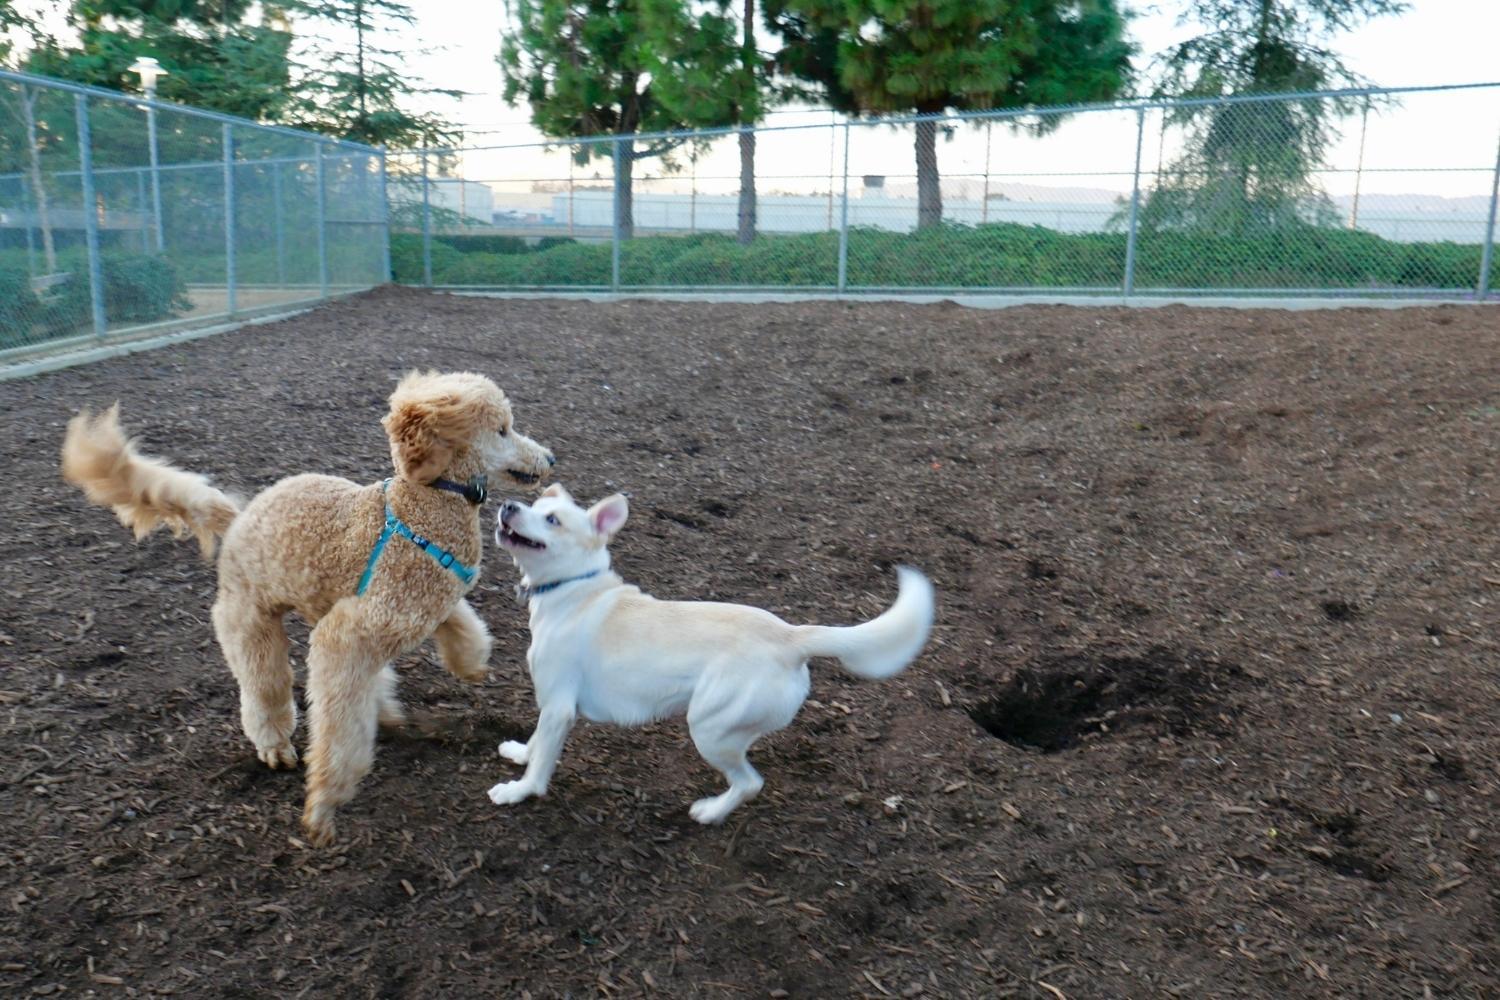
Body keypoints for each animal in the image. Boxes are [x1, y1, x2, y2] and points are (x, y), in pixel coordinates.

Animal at [63, 371, 558, 851]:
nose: (550, 458)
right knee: (264, 685)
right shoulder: (349, 636)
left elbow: (463, 628)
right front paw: (324, 803)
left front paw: (471, 665)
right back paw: (275, 744)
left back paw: (386, 709)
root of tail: (237, 518)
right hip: (250, 618)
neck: (421, 510)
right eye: (502, 429)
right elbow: (338, 732)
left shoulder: (415, 605)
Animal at [486, 485, 930, 821]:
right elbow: (536, 743)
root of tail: (792, 636)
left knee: (750, 783)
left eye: (553, 520)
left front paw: (519, 791)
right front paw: (519, 753)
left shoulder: (560, 707)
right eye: (534, 506)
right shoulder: (549, 707)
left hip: (709, 729)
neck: (574, 587)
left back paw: (711, 812)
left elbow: (543, 763)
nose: (508, 505)